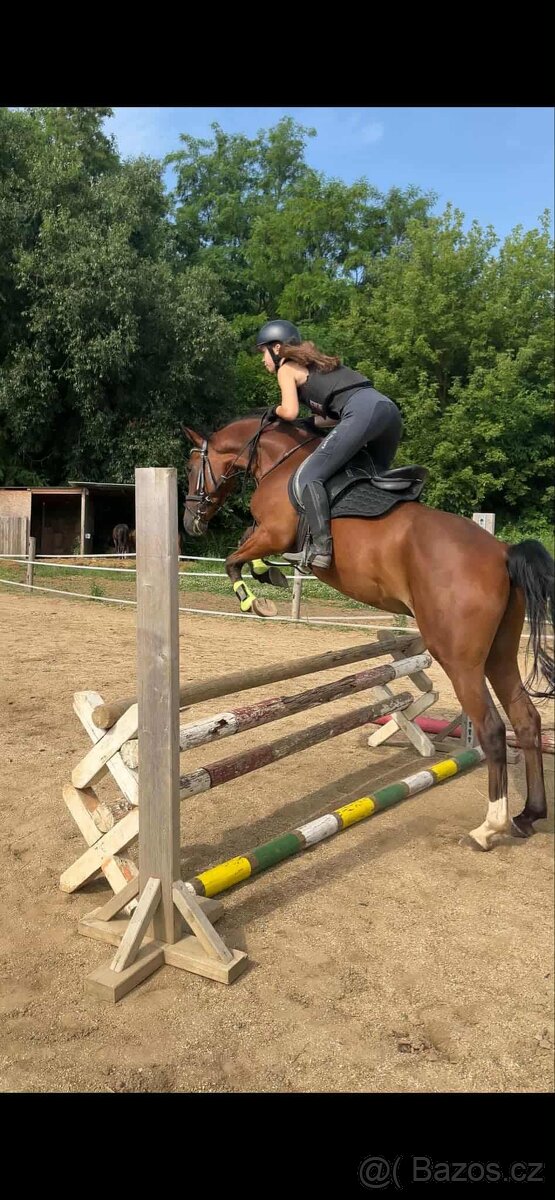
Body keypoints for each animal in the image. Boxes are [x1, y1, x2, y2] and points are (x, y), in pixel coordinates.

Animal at [182, 411, 553, 852]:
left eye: (190, 467)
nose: (190, 523)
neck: (279, 460)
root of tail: (503, 553)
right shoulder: (267, 535)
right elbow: (244, 548)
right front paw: (269, 575)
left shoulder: (274, 533)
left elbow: (233, 560)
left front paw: (256, 600)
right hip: (499, 653)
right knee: (525, 719)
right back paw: (528, 815)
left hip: (459, 658)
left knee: (493, 729)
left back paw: (489, 827)